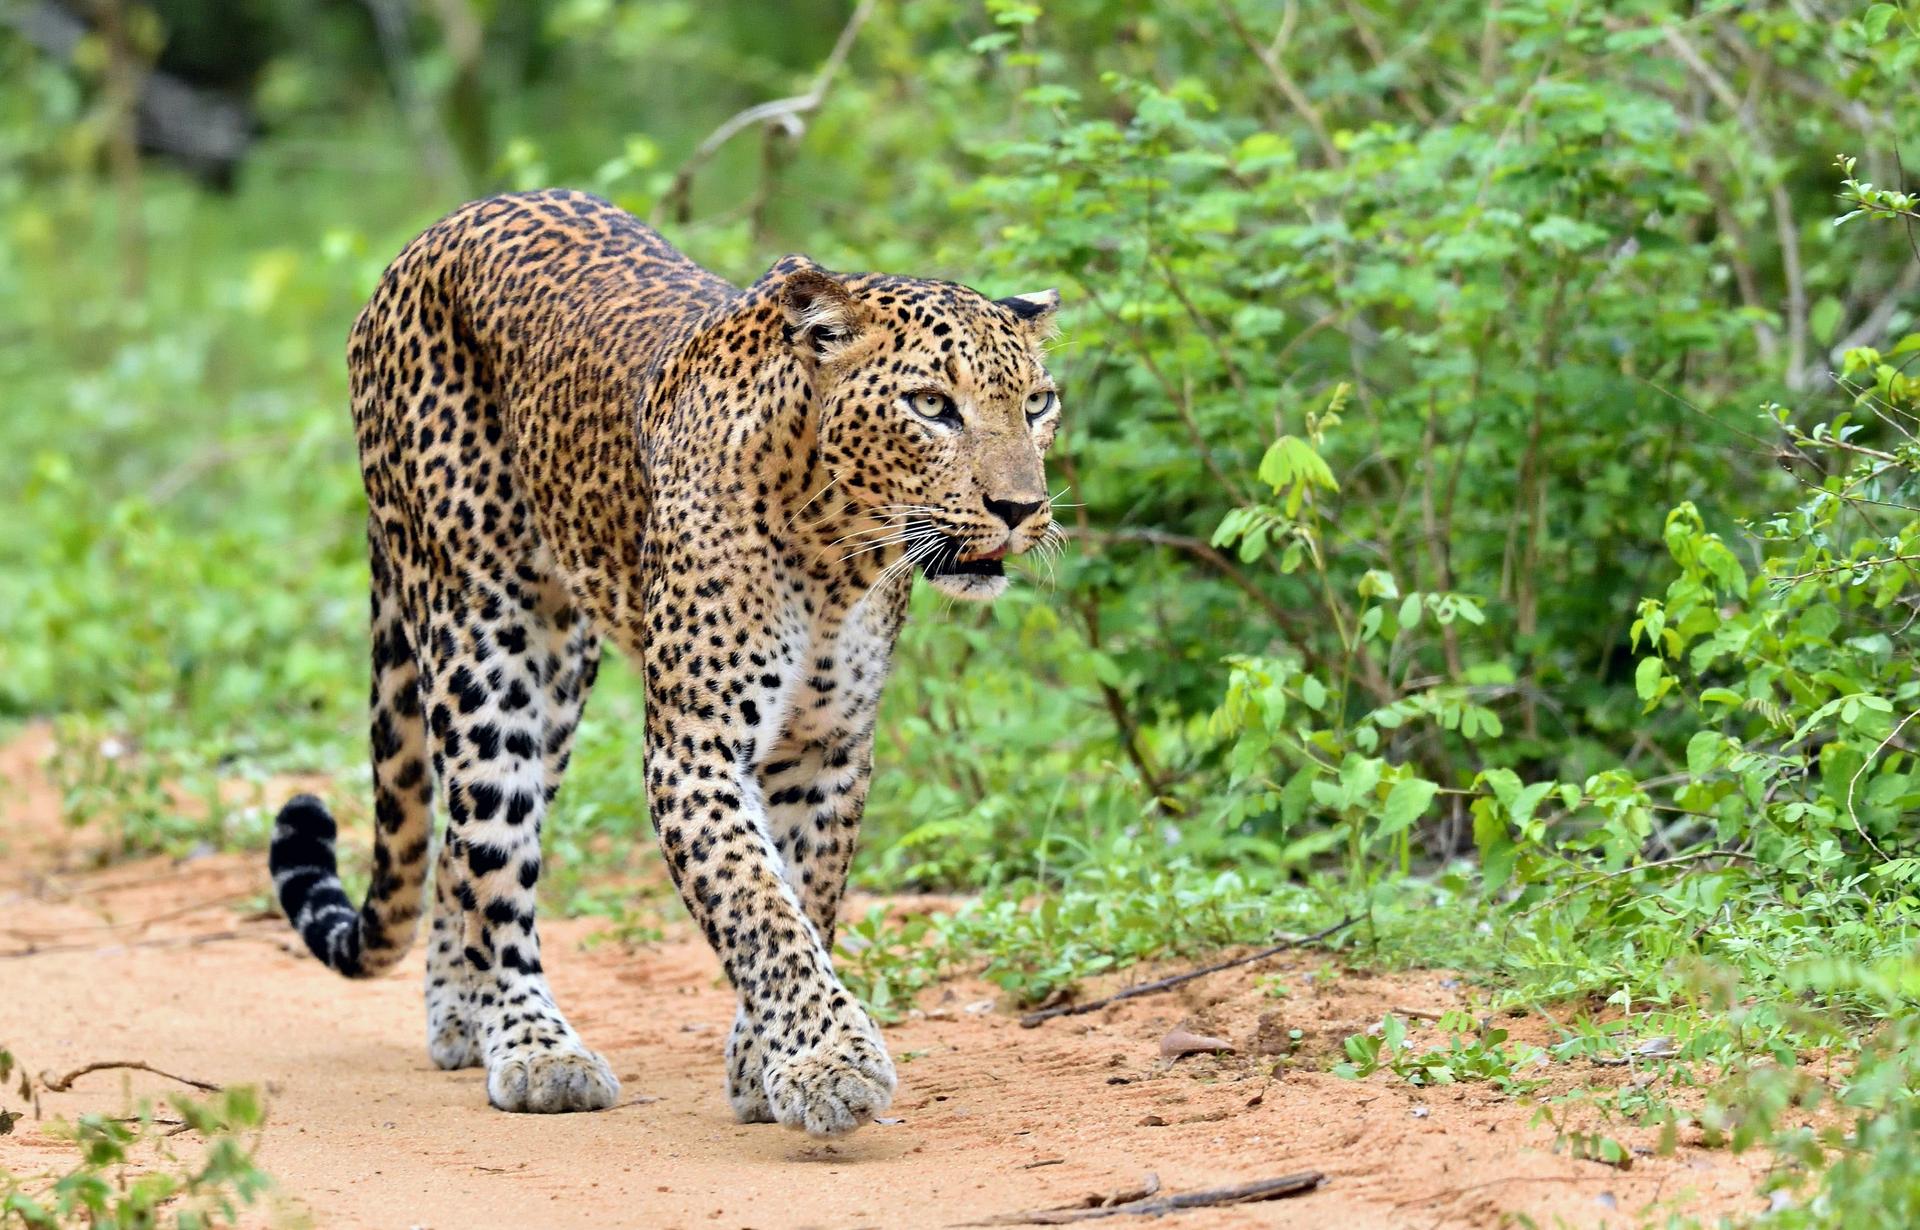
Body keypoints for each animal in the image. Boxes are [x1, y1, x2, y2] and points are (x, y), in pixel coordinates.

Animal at [266, 187, 1067, 1135]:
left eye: (1040, 403)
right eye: (932, 404)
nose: (1021, 508)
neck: (835, 552)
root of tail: (436, 233)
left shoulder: (826, 750)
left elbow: (805, 894)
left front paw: (765, 1063)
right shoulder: (695, 749)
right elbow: (758, 907)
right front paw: (830, 1064)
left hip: (560, 678)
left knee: (460, 848)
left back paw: (462, 1018)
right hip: (482, 637)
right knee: (491, 852)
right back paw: (534, 1046)